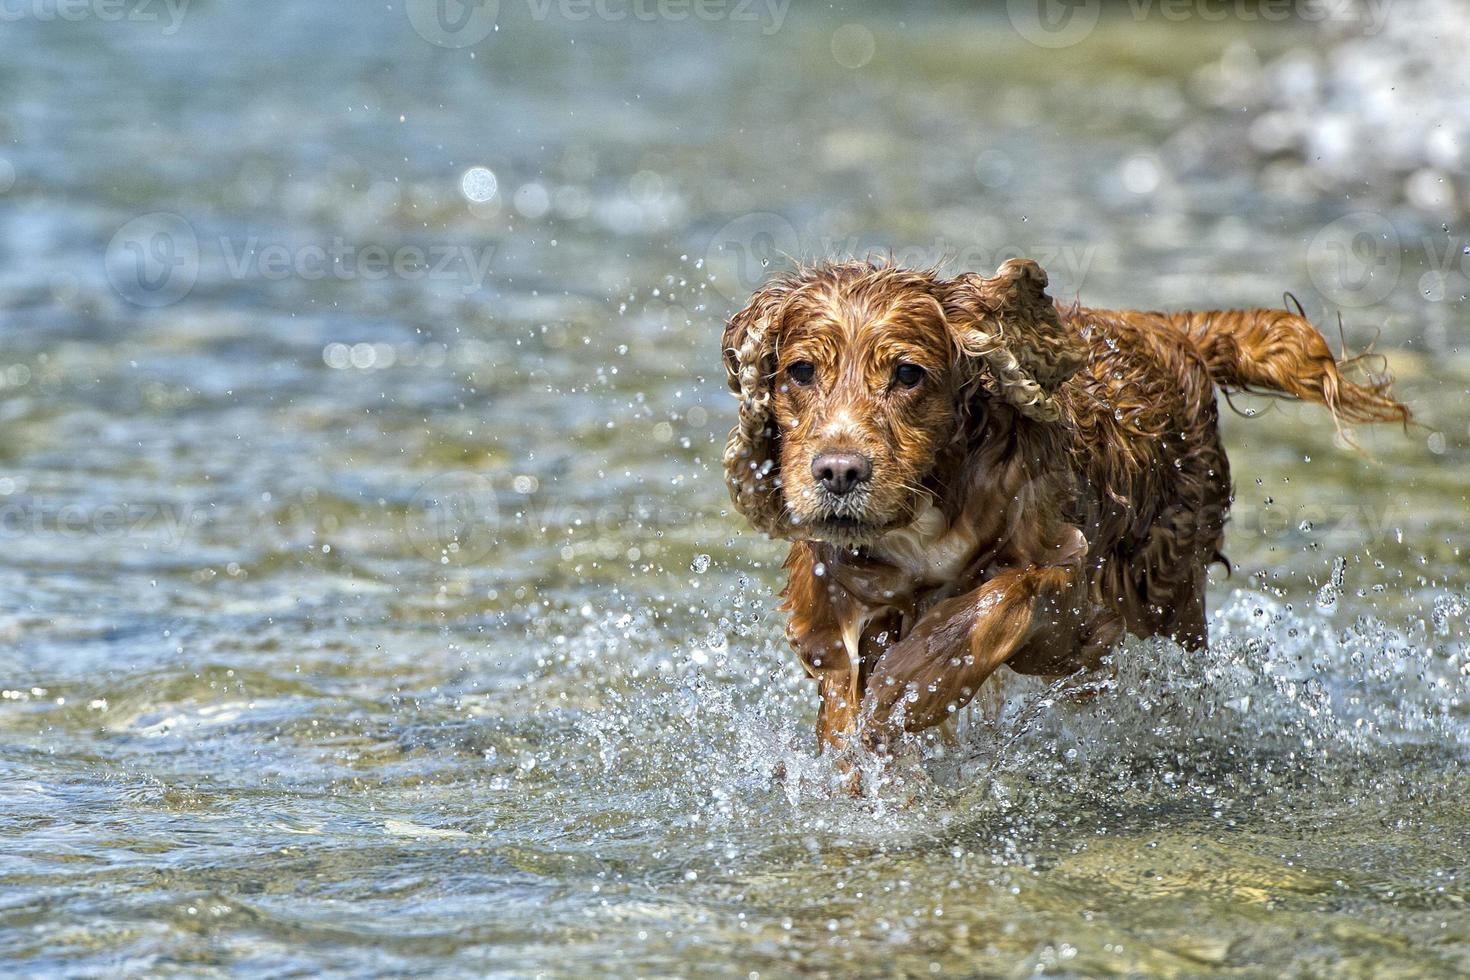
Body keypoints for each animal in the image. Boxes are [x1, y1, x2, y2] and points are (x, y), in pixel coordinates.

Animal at [723, 258, 1411, 764]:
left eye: (909, 374)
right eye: (800, 371)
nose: (838, 472)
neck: (932, 509)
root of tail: (1173, 332)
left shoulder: (1074, 604)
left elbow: (999, 598)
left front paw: (909, 687)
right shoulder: (835, 601)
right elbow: (844, 696)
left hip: (1167, 591)